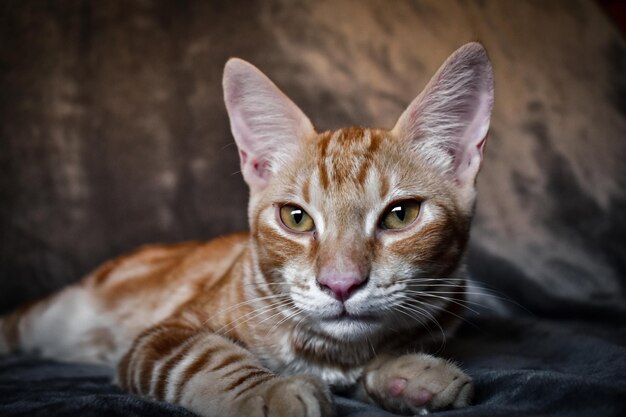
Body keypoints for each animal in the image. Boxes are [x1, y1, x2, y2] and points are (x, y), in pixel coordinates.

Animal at [0, 43, 492, 416]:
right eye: (296, 218)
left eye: (400, 215)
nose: (340, 284)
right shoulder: (165, 334)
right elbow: (206, 357)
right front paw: (268, 391)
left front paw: (406, 372)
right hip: (48, 316)